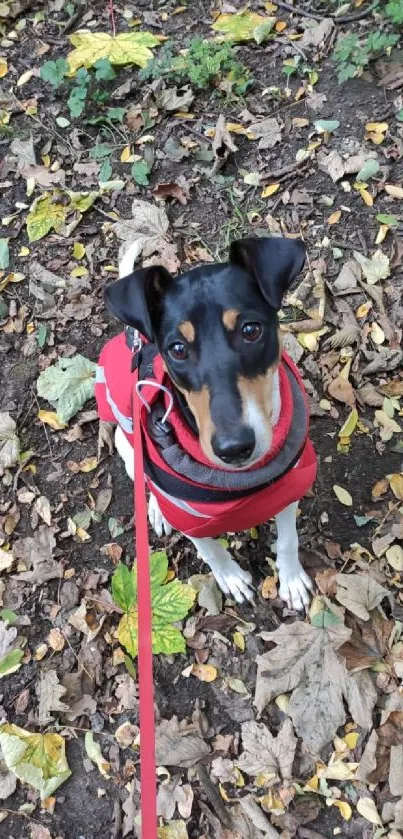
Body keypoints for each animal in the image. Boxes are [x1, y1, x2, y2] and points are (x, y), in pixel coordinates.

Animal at [96, 236, 318, 612]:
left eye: (250, 330)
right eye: (177, 348)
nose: (234, 448)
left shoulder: (289, 486)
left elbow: (289, 538)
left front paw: (291, 580)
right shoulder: (189, 517)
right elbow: (210, 549)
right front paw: (230, 577)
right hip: (128, 445)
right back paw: (156, 511)